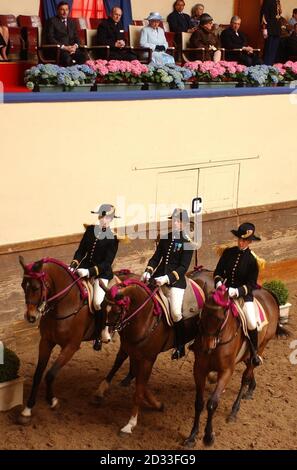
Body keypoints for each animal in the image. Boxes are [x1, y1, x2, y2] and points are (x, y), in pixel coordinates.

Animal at [17, 258, 134, 426]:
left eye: (35, 287)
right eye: (22, 285)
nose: (30, 316)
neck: (64, 305)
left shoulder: (71, 347)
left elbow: (50, 374)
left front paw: (52, 401)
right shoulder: (45, 342)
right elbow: (38, 374)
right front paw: (27, 410)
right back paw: (129, 377)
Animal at [96, 270, 212, 436]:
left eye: (117, 311)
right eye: (102, 306)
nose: (104, 338)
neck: (145, 318)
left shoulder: (147, 359)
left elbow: (139, 390)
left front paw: (130, 423)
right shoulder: (130, 349)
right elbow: (120, 365)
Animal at [183, 282, 286, 448]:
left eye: (220, 318)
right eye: (202, 315)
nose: (207, 347)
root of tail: (267, 292)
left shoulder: (226, 371)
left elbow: (212, 403)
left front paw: (208, 437)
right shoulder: (199, 369)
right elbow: (199, 402)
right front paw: (192, 436)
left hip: (261, 346)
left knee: (246, 375)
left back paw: (234, 410)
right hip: (247, 354)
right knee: (250, 369)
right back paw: (251, 388)